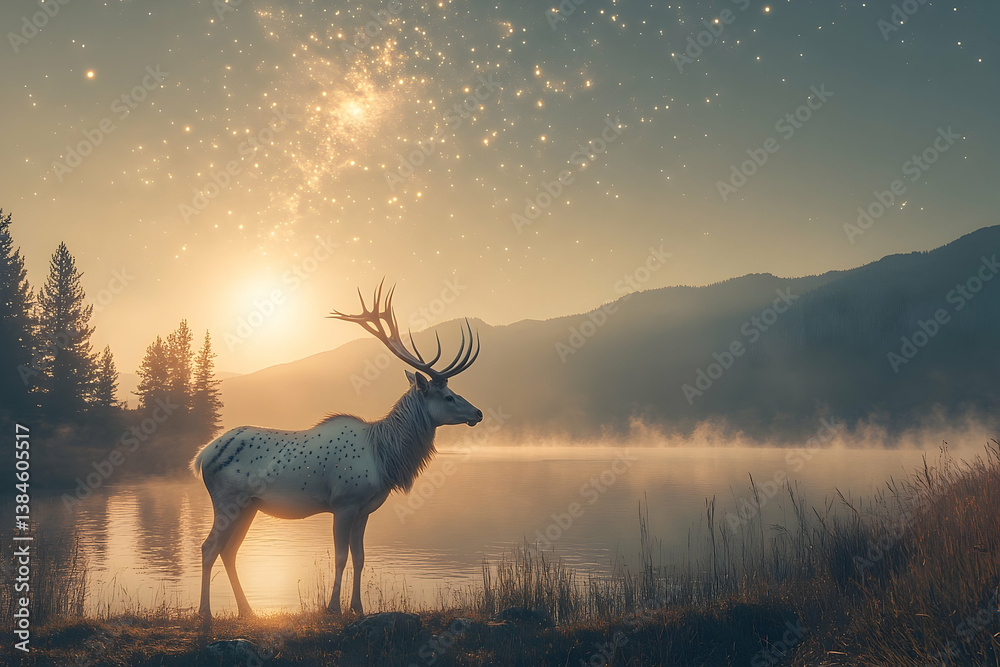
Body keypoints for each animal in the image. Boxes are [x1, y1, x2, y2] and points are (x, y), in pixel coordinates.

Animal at [190, 282, 483, 618]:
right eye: (448, 396)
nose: (477, 413)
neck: (385, 458)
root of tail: (201, 457)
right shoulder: (344, 503)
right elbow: (341, 556)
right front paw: (333, 607)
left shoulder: (364, 509)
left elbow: (360, 557)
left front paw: (358, 607)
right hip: (227, 500)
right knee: (209, 547)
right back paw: (205, 613)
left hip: (249, 505)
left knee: (230, 551)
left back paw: (247, 611)